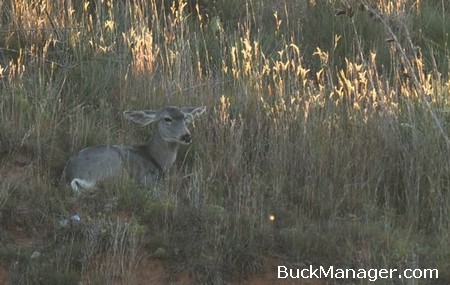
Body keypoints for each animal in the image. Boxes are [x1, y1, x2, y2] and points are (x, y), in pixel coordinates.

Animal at [61, 105, 206, 194]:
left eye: (185, 118)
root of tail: (73, 176)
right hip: (113, 166)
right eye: (167, 119)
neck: (157, 160)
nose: (186, 136)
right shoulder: (148, 178)